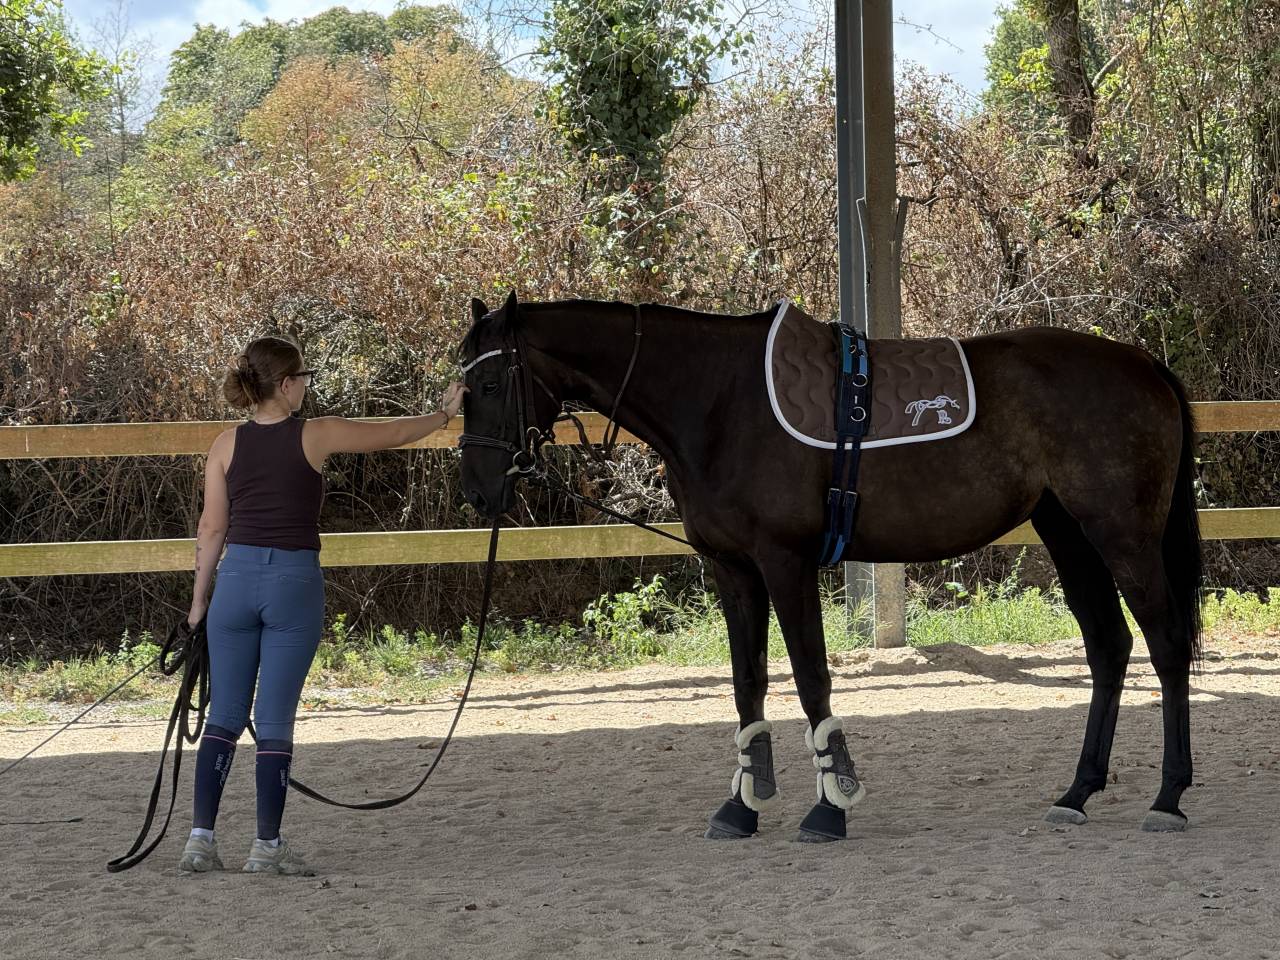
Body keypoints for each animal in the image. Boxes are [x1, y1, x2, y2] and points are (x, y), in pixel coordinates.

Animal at [457, 291, 1203, 842]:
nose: (479, 490)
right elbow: (748, 683)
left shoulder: (785, 564)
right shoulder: (732, 570)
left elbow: (811, 678)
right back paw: (1077, 793)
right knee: (1108, 646)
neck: (719, 400)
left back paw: (1167, 797)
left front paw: (830, 803)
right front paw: (744, 805)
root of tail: (1143, 364)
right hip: (1069, 533)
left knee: (1166, 643)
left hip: (1122, 536)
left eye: (490, 381)